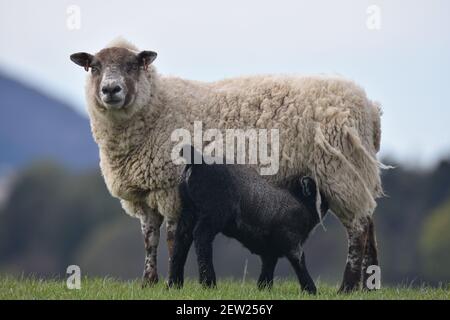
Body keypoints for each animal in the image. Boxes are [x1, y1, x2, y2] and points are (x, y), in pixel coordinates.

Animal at [166, 146, 326, 294]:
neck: (302, 203)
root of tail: (197, 160)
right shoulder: (291, 239)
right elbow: (299, 261)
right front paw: (311, 290)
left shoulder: (270, 249)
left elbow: (267, 268)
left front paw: (264, 289)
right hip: (212, 213)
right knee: (201, 237)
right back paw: (209, 283)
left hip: (188, 211)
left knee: (181, 239)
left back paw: (174, 284)